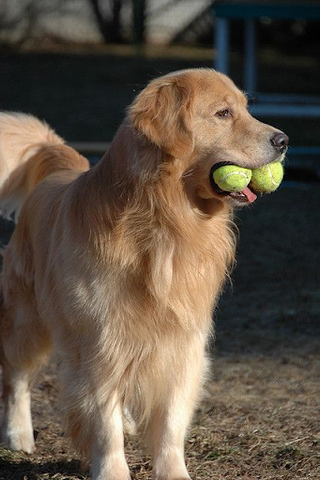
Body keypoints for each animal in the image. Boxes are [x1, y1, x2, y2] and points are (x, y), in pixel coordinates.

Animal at [0, 68, 288, 480]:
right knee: (17, 378)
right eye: (223, 113)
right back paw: (19, 434)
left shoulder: (182, 343)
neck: (165, 222)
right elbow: (103, 421)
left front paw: (174, 471)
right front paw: (112, 470)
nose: (283, 140)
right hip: (27, 316)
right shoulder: (100, 341)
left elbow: (170, 421)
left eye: (246, 108)